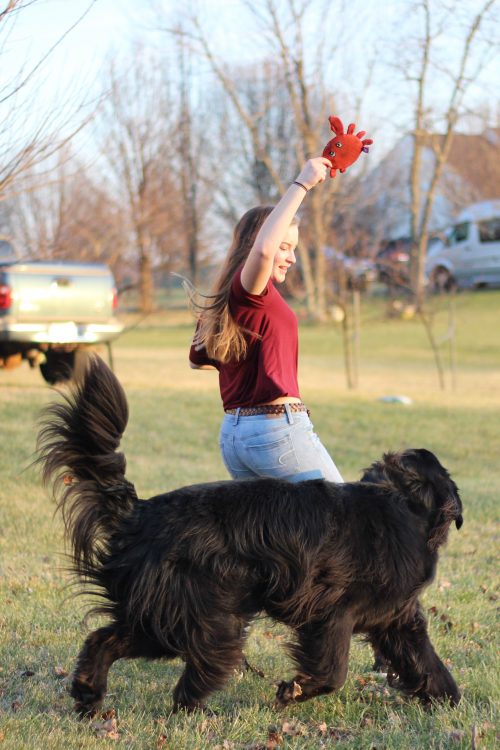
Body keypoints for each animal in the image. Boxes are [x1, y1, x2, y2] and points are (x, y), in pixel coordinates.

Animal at [37, 356, 462, 716]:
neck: (405, 506)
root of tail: (139, 511)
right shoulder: (333, 613)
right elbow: (333, 671)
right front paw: (293, 691)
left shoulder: (397, 620)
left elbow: (426, 664)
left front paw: (448, 701)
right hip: (209, 616)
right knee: (194, 671)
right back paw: (194, 711)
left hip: (159, 615)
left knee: (103, 640)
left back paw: (88, 696)